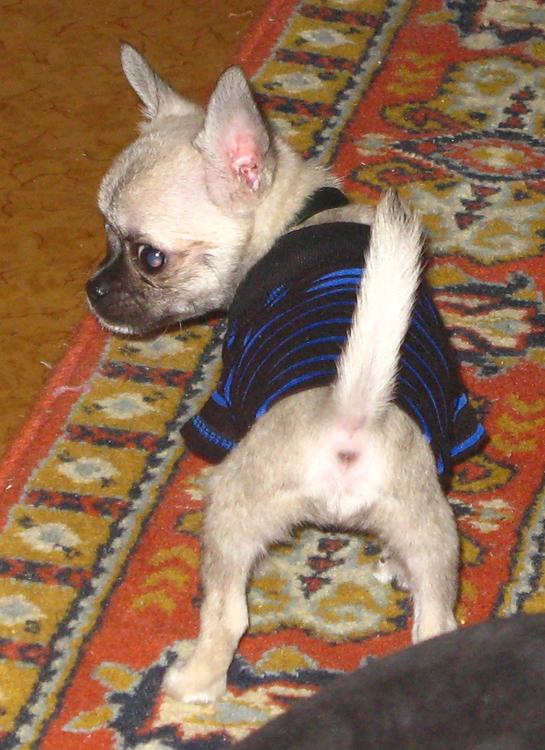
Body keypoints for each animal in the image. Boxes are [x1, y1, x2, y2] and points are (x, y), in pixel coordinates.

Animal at [87, 45, 485, 703]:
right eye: (106, 237)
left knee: (228, 615)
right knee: (435, 619)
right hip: (428, 525)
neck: (299, 216)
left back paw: (192, 681)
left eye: (150, 257)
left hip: (231, 517)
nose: (92, 289)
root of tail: (350, 414)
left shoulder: (224, 406)